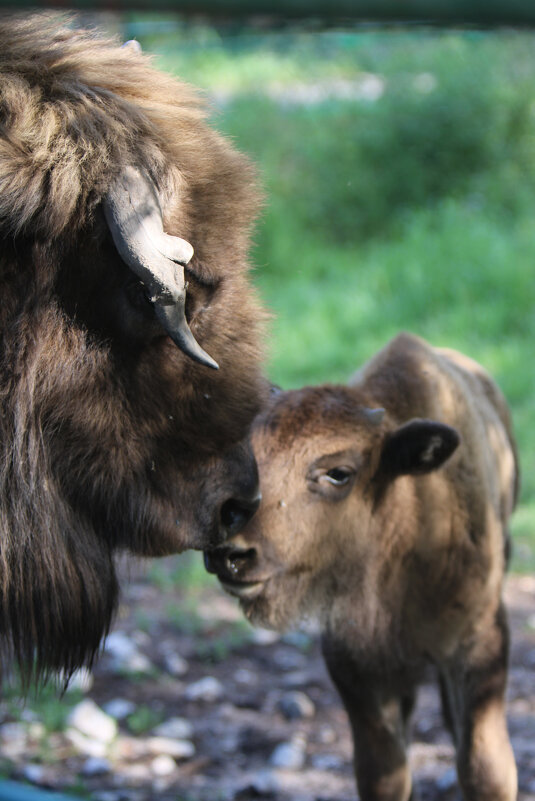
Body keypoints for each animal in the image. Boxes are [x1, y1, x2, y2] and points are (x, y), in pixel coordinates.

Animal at [205, 332, 520, 800]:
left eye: (339, 472)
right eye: (251, 459)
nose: (230, 553)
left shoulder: (479, 644)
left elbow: (485, 768)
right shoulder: (357, 665)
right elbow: (385, 773)